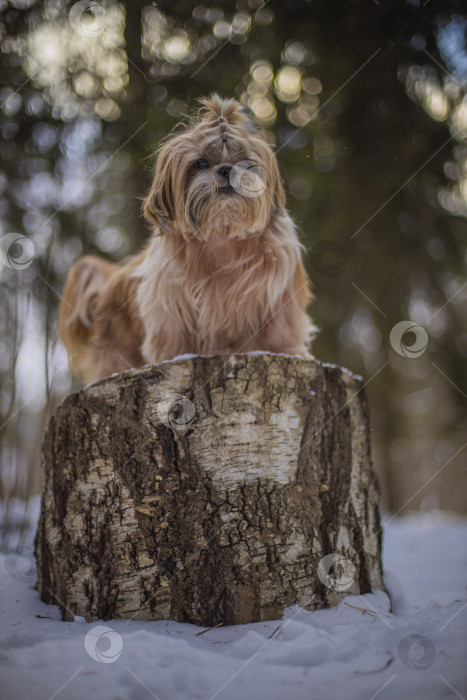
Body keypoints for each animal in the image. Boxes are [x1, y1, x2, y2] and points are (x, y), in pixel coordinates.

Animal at [57, 94, 314, 382]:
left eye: (246, 162)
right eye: (201, 163)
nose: (227, 169)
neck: (221, 234)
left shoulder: (279, 290)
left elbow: (281, 326)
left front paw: (287, 350)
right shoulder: (168, 298)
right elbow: (172, 331)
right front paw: (176, 356)